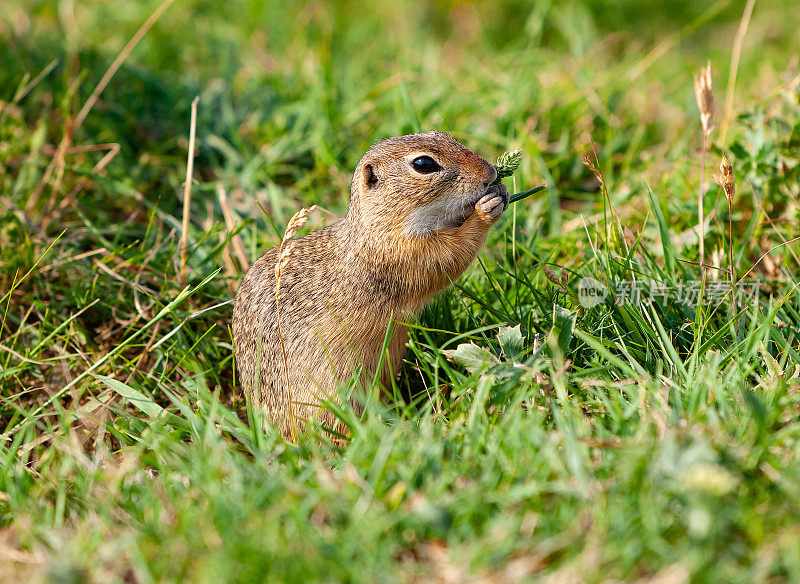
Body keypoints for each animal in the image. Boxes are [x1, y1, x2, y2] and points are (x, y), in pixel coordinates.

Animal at [231, 131, 506, 438]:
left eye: (443, 134)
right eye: (423, 164)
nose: (490, 172)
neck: (377, 226)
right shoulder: (407, 256)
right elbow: (451, 254)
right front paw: (486, 209)